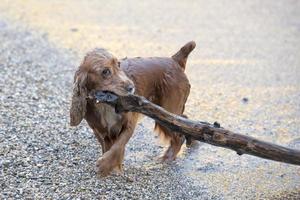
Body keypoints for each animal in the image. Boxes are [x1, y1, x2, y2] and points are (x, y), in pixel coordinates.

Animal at [69, 41, 196, 176]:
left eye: (119, 65)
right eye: (105, 71)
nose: (131, 87)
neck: (105, 105)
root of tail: (174, 60)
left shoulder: (128, 124)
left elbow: (117, 146)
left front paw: (105, 165)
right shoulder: (100, 131)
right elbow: (108, 147)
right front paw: (112, 167)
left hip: (166, 115)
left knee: (179, 135)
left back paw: (167, 158)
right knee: (183, 122)